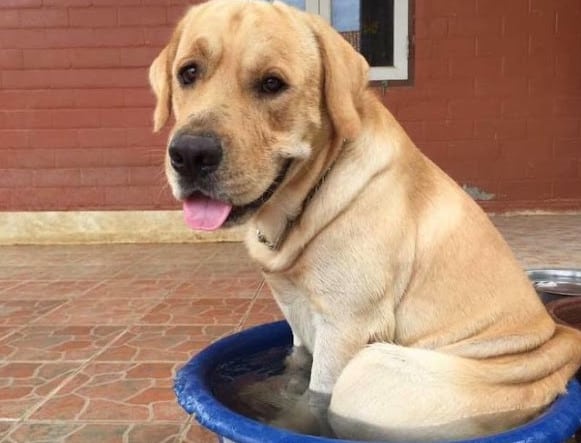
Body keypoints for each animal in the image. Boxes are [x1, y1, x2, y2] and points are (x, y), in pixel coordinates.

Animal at [149, 1, 581, 440]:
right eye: (188, 72)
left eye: (272, 84)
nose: (190, 154)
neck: (308, 196)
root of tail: (559, 347)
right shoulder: (298, 324)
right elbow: (295, 368)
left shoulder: (346, 329)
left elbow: (314, 400)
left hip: (368, 374)